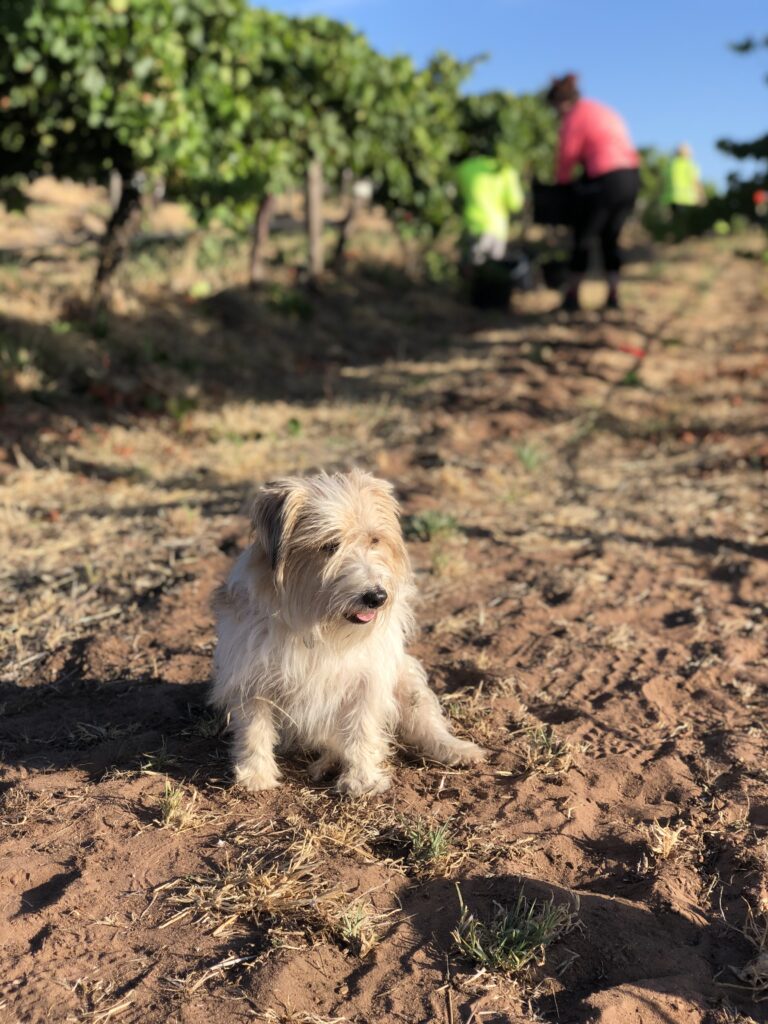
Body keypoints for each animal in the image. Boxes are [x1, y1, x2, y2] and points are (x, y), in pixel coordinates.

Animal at [214, 468, 483, 794]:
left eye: (374, 539)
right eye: (330, 545)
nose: (376, 596)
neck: (319, 621)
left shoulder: (367, 679)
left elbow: (362, 728)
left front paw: (363, 779)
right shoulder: (252, 676)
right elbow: (255, 727)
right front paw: (256, 775)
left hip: (406, 678)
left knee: (425, 721)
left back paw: (455, 749)